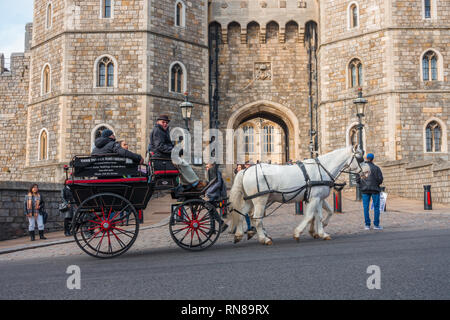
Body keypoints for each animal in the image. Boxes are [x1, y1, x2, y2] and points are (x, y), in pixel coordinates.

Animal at [230, 146, 364, 245]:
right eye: (359, 158)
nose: (364, 173)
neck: (322, 169)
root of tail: (246, 170)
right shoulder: (314, 198)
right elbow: (309, 216)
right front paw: (298, 233)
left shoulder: (318, 198)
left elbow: (322, 215)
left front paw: (321, 232)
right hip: (260, 200)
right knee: (256, 218)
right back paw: (264, 238)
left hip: (250, 200)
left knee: (241, 214)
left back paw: (239, 234)